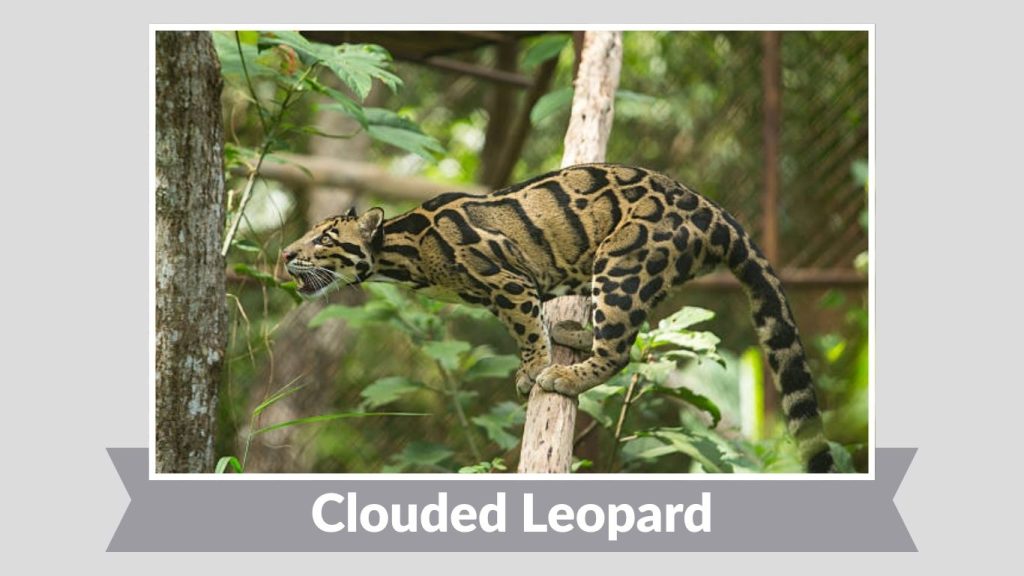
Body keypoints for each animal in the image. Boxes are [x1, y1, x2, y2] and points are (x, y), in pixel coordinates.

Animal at [283, 163, 835, 473]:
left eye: (323, 240)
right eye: (307, 236)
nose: (286, 252)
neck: (405, 248)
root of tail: (721, 216)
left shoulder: (507, 280)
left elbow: (526, 329)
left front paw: (532, 369)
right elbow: (530, 323)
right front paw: (546, 344)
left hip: (624, 261)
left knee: (619, 349)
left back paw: (567, 375)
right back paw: (574, 332)